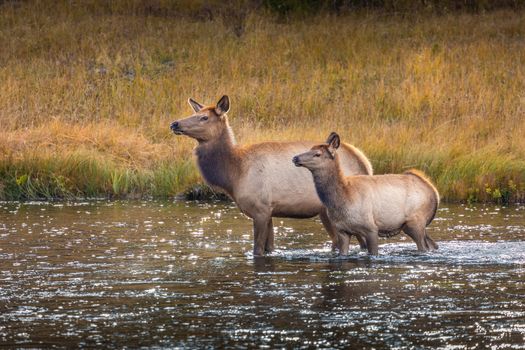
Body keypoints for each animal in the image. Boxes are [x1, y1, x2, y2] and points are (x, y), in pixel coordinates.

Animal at [169, 97, 372, 256]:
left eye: (204, 117)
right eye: (194, 114)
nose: (174, 123)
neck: (233, 174)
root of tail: (365, 162)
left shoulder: (260, 208)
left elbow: (257, 249)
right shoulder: (269, 211)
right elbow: (270, 248)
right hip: (326, 212)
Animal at [290, 133, 438, 256]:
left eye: (317, 154)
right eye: (310, 149)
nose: (295, 157)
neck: (343, 199)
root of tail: (434, 191)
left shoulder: (371, 228)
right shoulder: (342, 231)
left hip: (416, 222)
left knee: (423, 247)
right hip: (415, 226)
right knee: (432, 245)